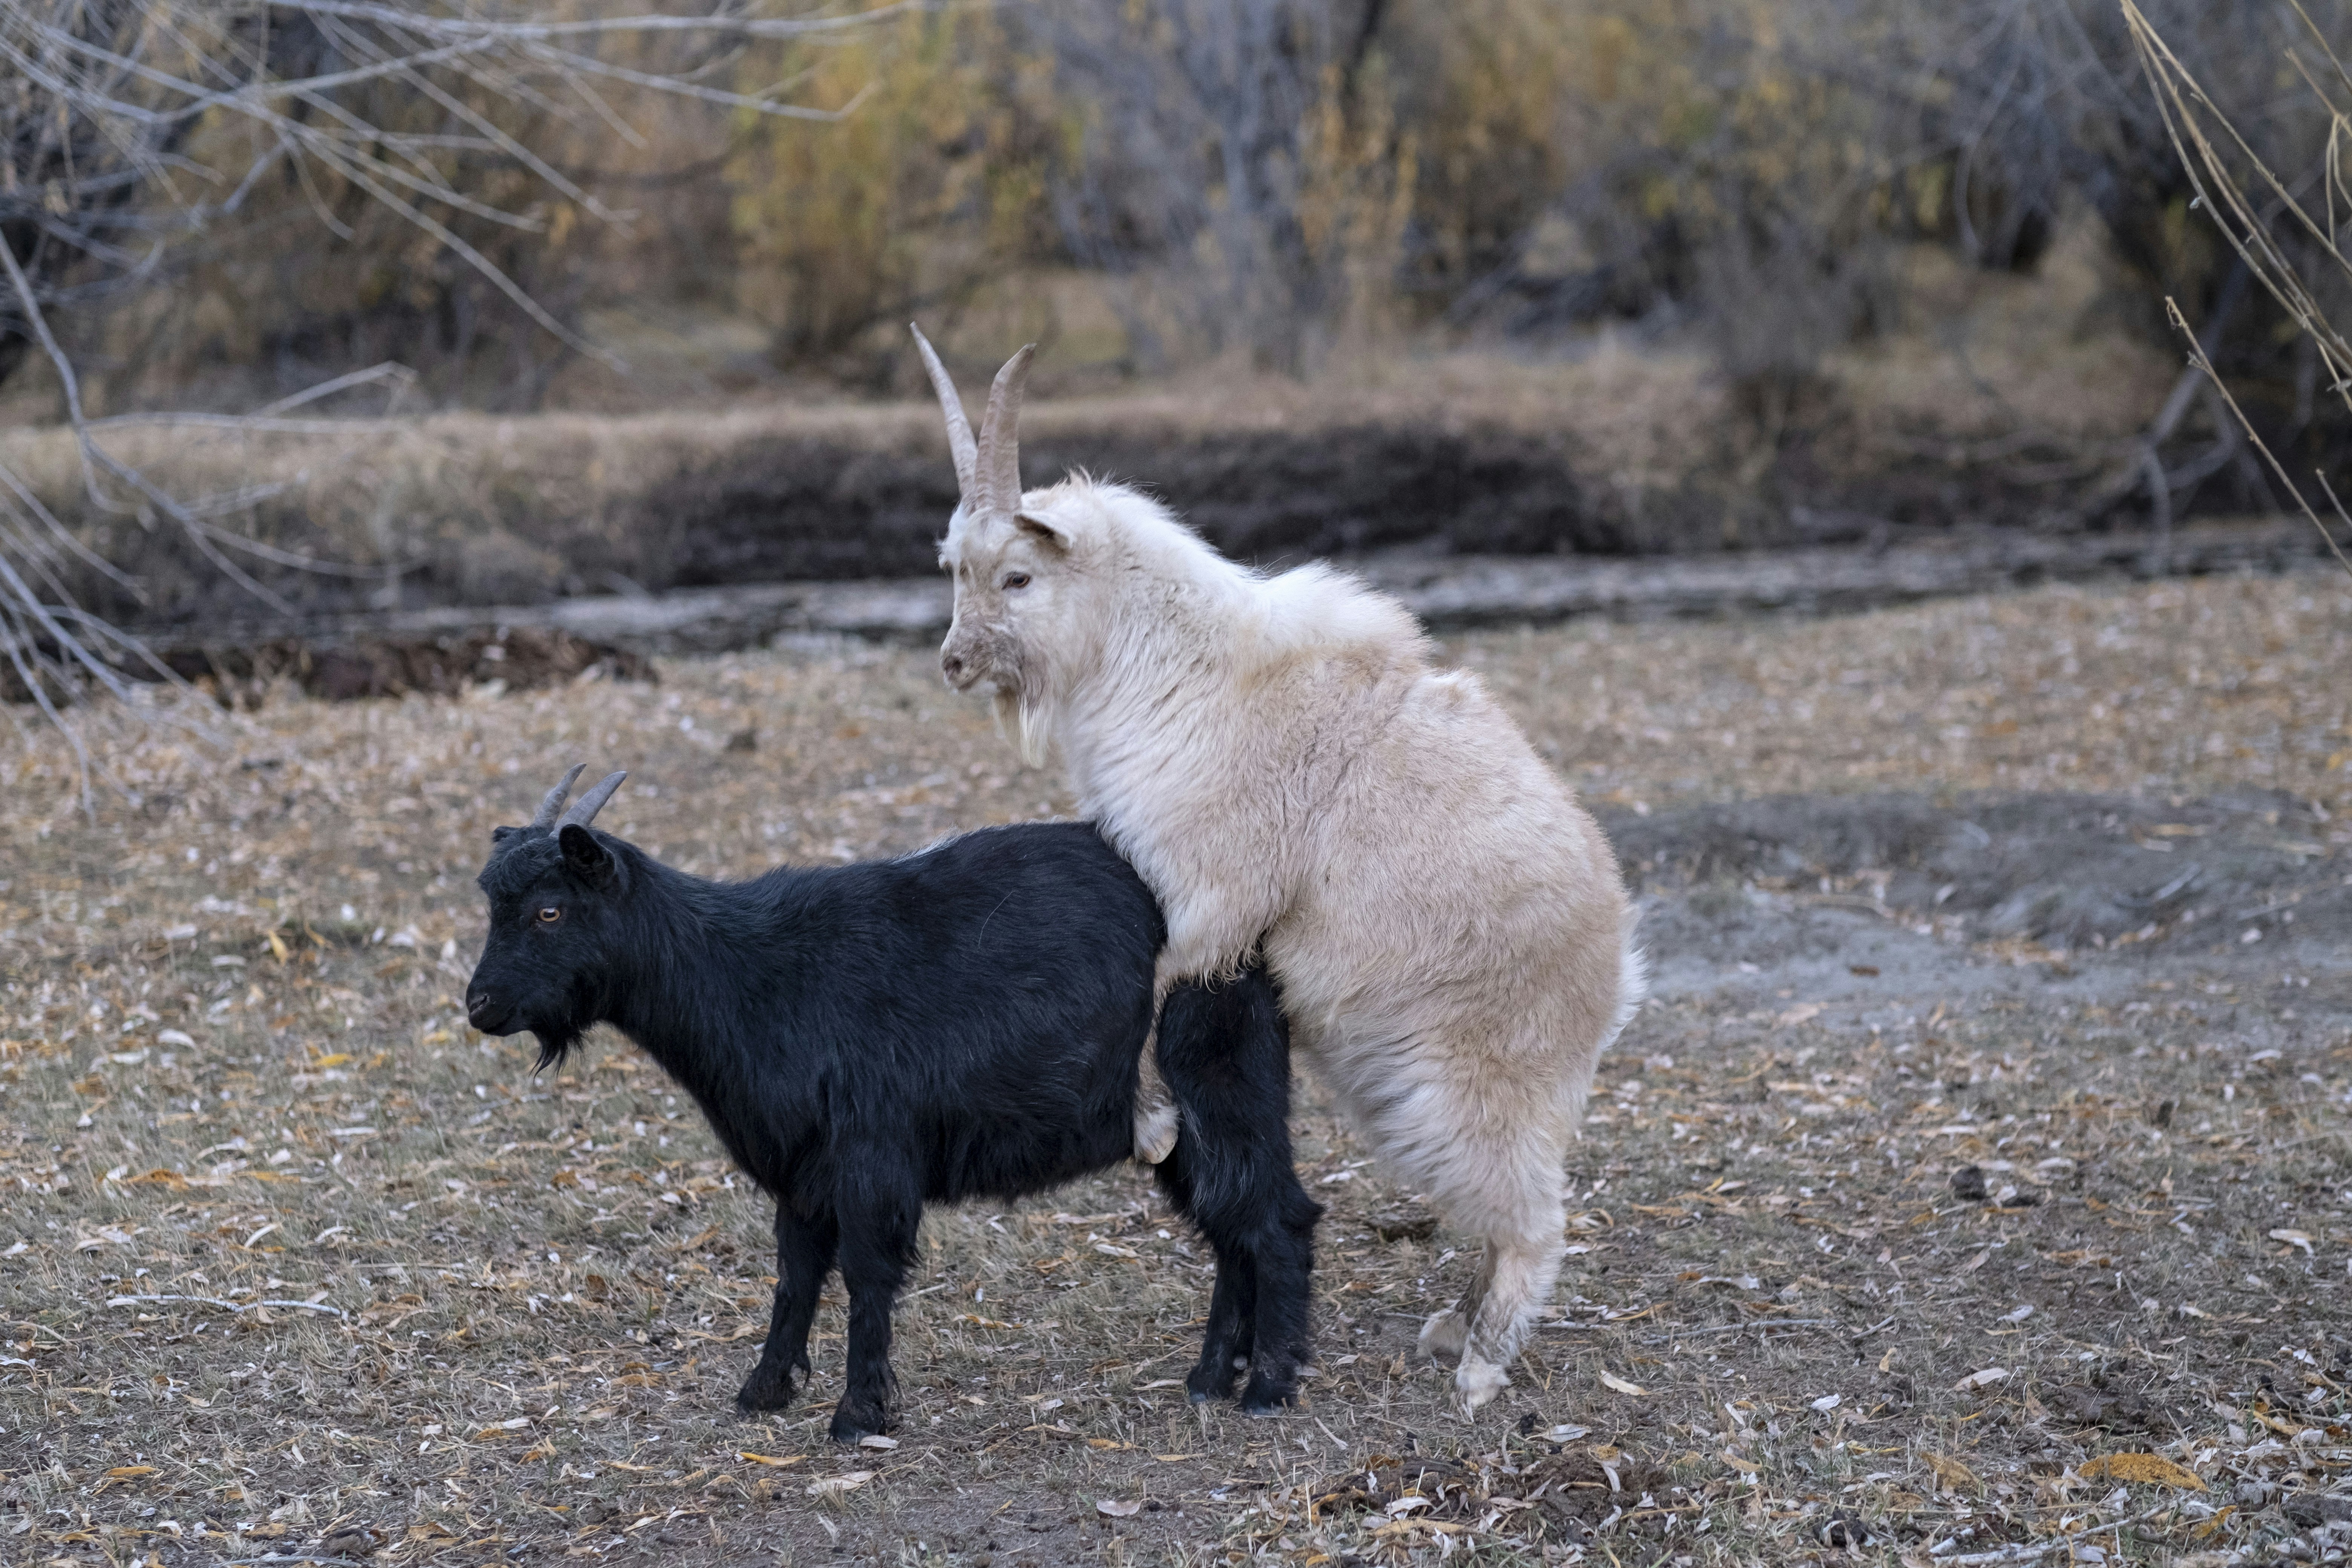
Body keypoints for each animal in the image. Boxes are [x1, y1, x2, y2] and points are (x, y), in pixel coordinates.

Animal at [463, 765, 1321, 1441]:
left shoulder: (871, 1153)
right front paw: (764, 1391)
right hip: (1182, 1125)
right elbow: (796, 1273)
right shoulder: (804, 1170)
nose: (480, 1006)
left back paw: (1268, 1389)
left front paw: (858, 1414)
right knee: (1233, 1229)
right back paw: (1210, 1378)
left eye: (549, 910)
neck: (748, 974)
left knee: (1279, 1221)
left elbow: (867, 1272)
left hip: (1223, 1086)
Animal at [912, 328, 1643, 1415]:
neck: (1176, 669)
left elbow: (1156, 988)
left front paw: (1155, 1127)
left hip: (1476, 1087)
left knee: (1535, 1220)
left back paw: (1480, 1366)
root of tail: (1615, 971)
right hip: (1406, 1089)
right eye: (955, 567)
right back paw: (1448, 1328)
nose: (956, 664)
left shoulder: (1216, 902)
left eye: (1018, 577)